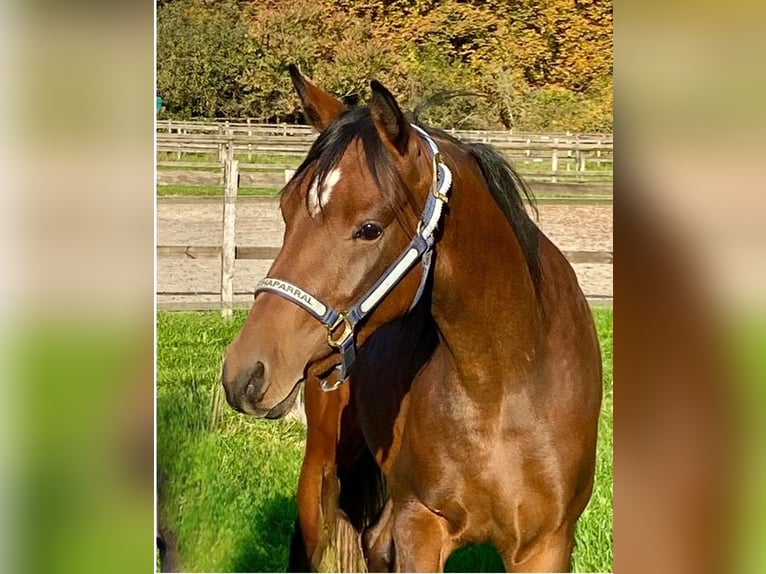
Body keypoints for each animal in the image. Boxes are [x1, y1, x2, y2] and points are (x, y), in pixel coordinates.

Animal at [219, 67, 604, 572]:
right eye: (286, 210)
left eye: (369, 228)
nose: (244, 372)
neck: (505, 383)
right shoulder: (420, 523)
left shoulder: (546, 544)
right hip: (321, 473)